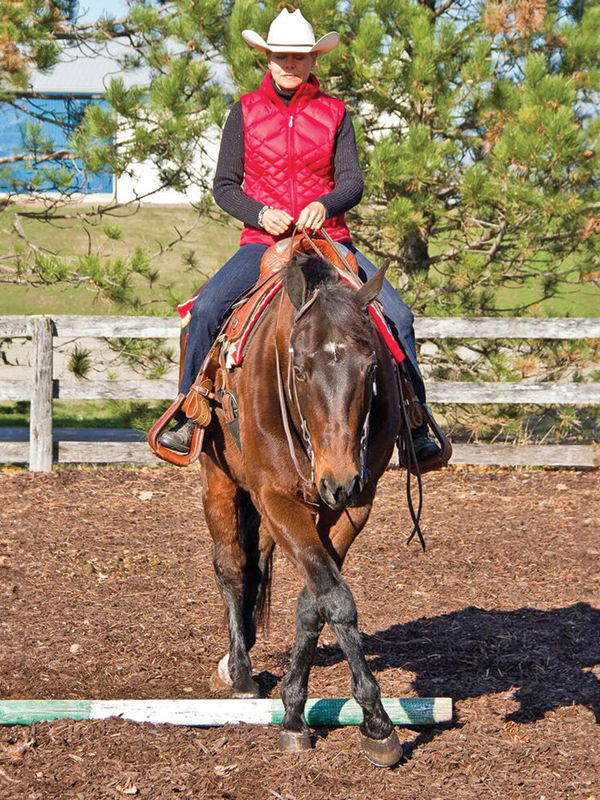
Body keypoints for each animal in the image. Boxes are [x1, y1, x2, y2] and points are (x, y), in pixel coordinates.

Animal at [199, 250, 404, 767]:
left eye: (371, 365)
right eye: (299, 369)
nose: (338, 479)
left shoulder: (355, 506)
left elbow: (317, 602)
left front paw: (297, 709)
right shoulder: (275, 498)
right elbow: (335, 597)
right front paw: (377, 721)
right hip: (218, 479)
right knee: (232, 568)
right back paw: (241, 673)